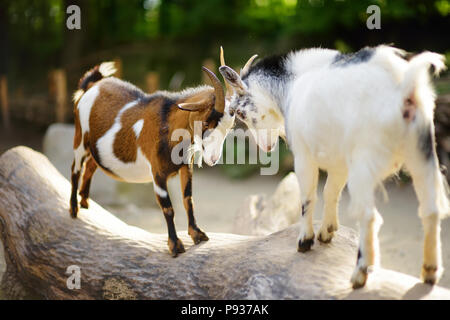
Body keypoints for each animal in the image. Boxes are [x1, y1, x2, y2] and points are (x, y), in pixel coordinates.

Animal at [70, 61, 236, 256]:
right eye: (206, 123)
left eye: (229, 128)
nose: (213, 158)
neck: (168, 126)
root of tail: (91, 86)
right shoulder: (157, 173)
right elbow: (168, 208)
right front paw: (175, 245)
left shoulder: (185, 167)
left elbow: (188, 200)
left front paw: (197, 234)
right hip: (80, 138)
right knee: (75, 168)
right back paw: (74, 209)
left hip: (95, 149)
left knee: (90, 166)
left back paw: (85, 201)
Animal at [220, 46, 448, 288]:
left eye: (240, 113)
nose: (265, 147)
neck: (293, 84)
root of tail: (404, 87)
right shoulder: (339, 163)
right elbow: (331, 192)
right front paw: (326, 232)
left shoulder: (303, 156)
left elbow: (308, 197)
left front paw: (305, 240)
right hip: (421, 152)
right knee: (431, 210)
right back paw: (430, 272)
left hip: (364, 164)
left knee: (369, 215)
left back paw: (359, 274)